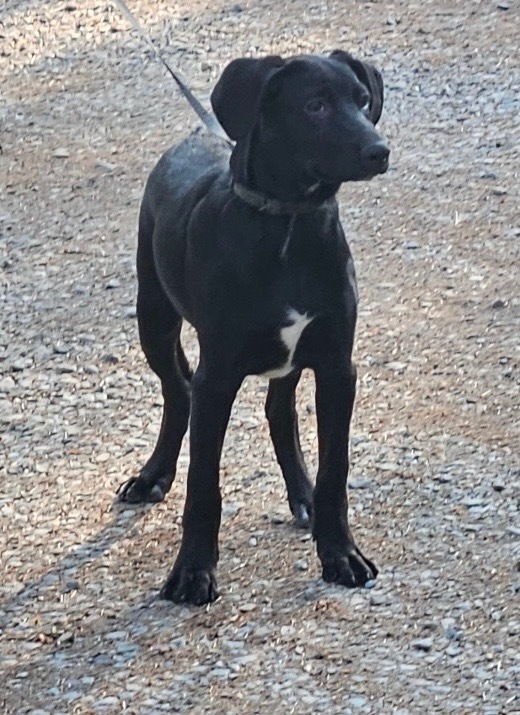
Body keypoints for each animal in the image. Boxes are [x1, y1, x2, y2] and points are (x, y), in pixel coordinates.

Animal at [117, 50, 386, 604]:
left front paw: (340, 554)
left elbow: (336, 471)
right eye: (314, 106)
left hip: (289, 359)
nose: (380, 151)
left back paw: (303, 496)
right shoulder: (218, 376)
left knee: (278, 412)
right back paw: (153, 475)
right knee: (177, 391)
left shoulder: (336, 366)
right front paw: (192, 572)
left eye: (362, 100)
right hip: (154, 316)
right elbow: (203, 485)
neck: (289, 225)